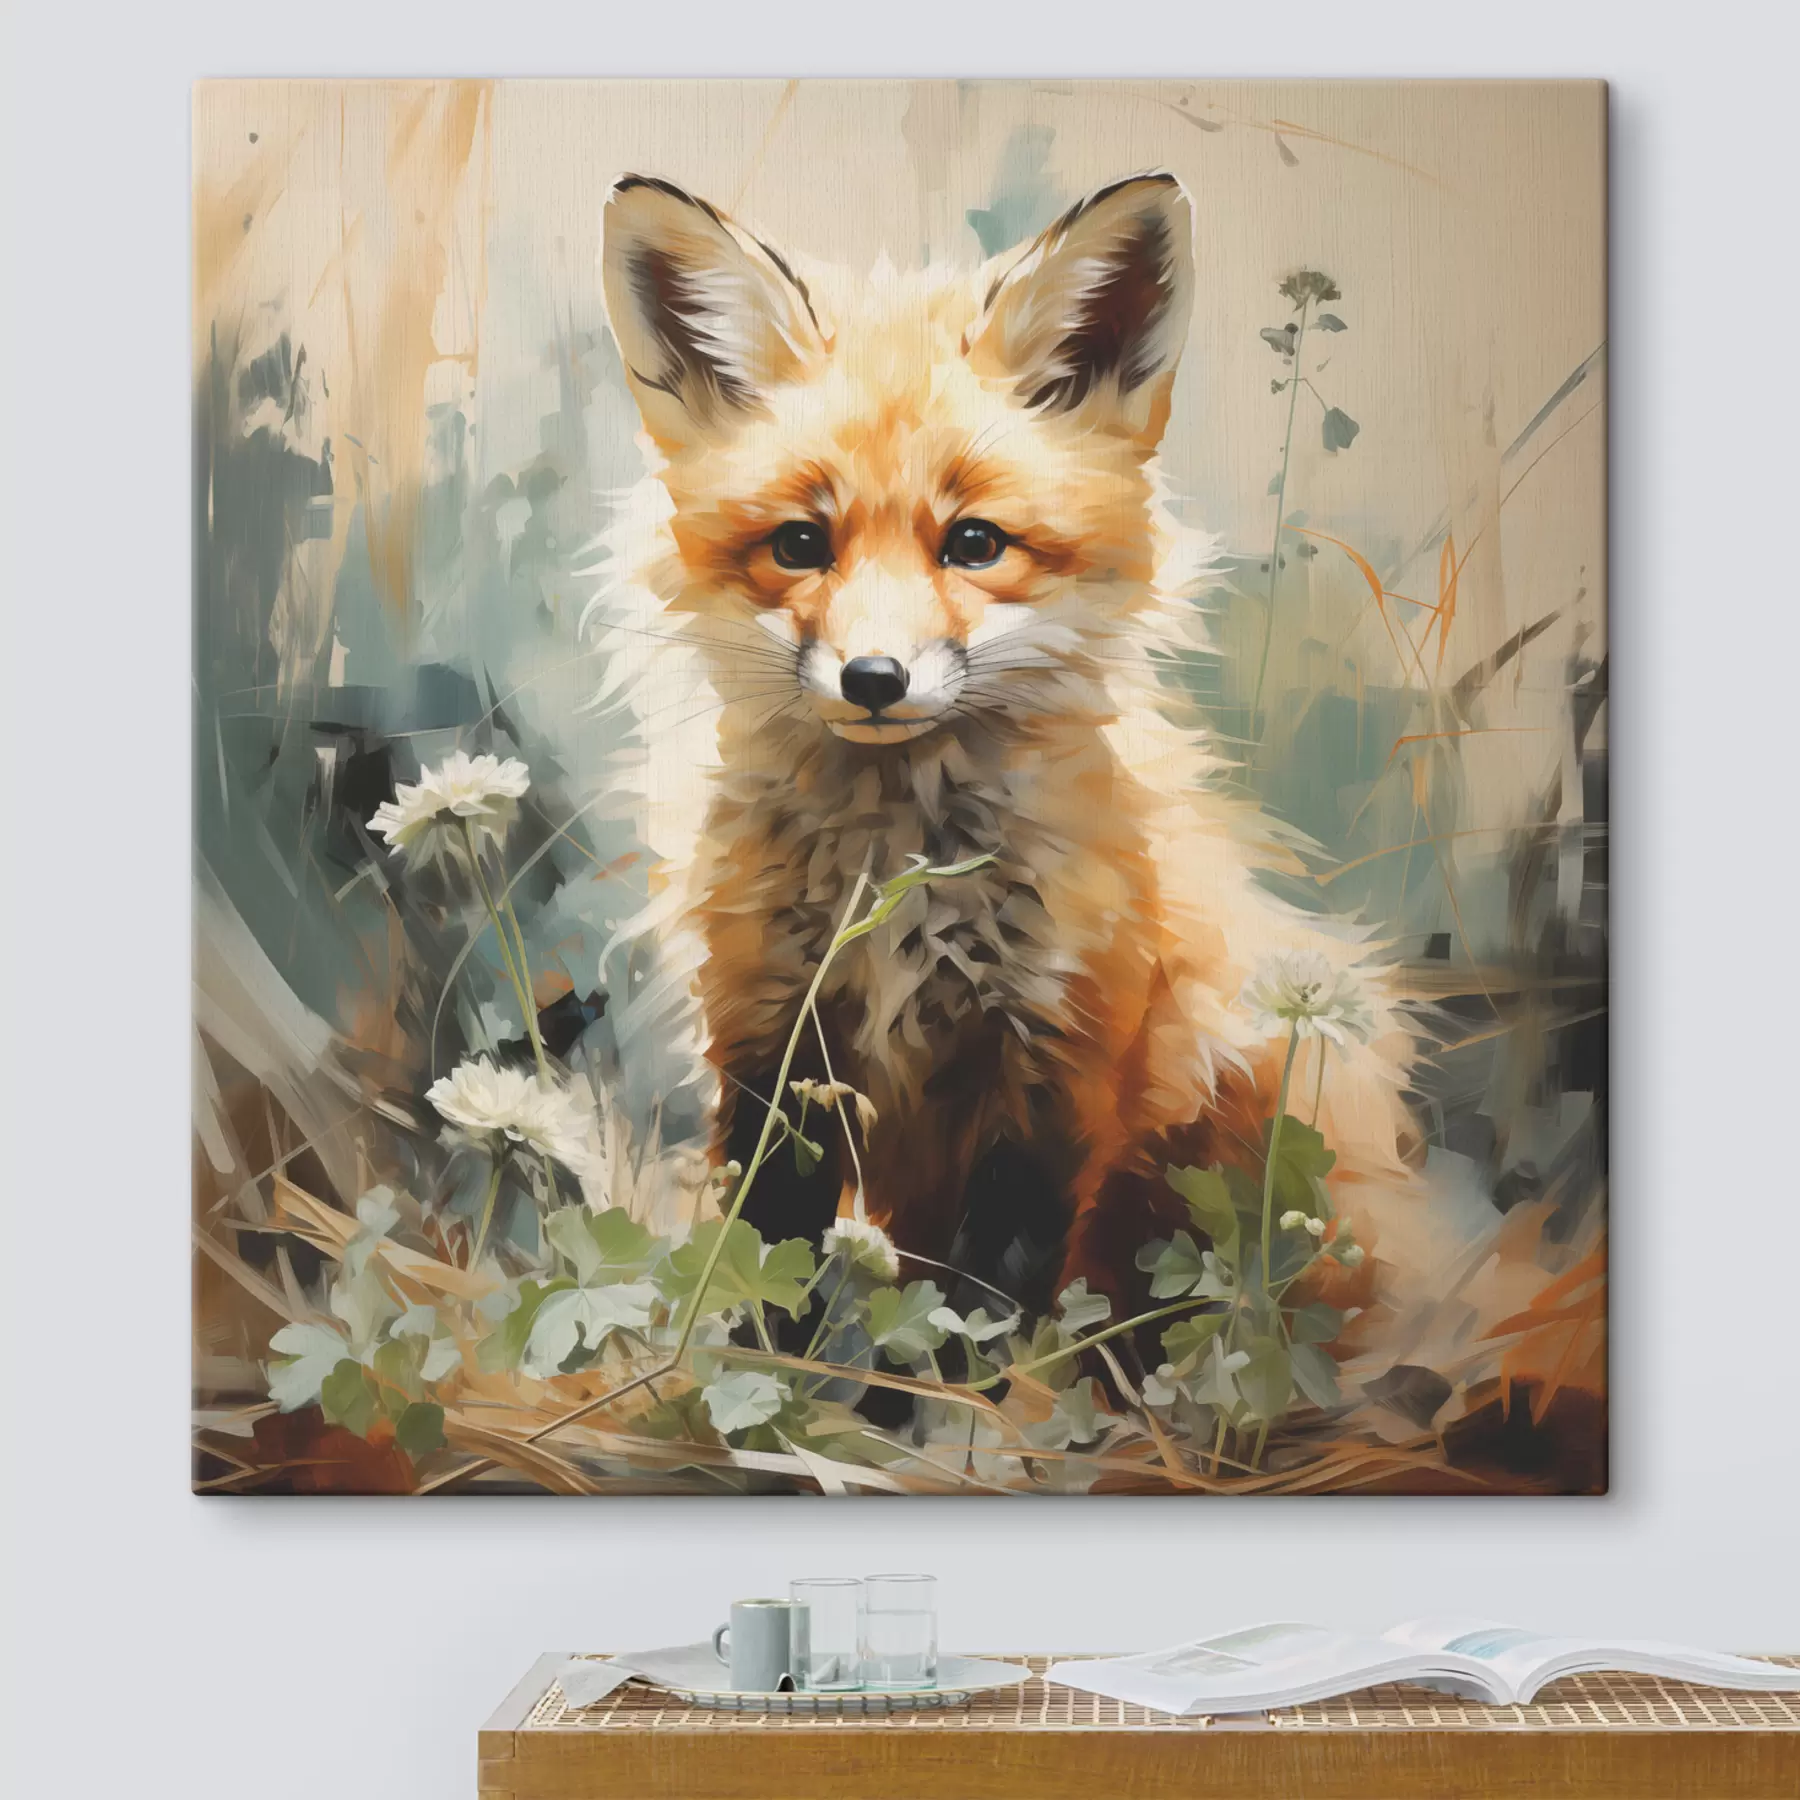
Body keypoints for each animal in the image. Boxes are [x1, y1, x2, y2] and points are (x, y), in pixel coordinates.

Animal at [596, 170, 1419, 1323]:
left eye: (974, 543)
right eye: (800, 544)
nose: (874, 680)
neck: (897, 874)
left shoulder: (1053, 1073)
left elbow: (981, 1314)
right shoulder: (771, 1040)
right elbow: (767, 1264)